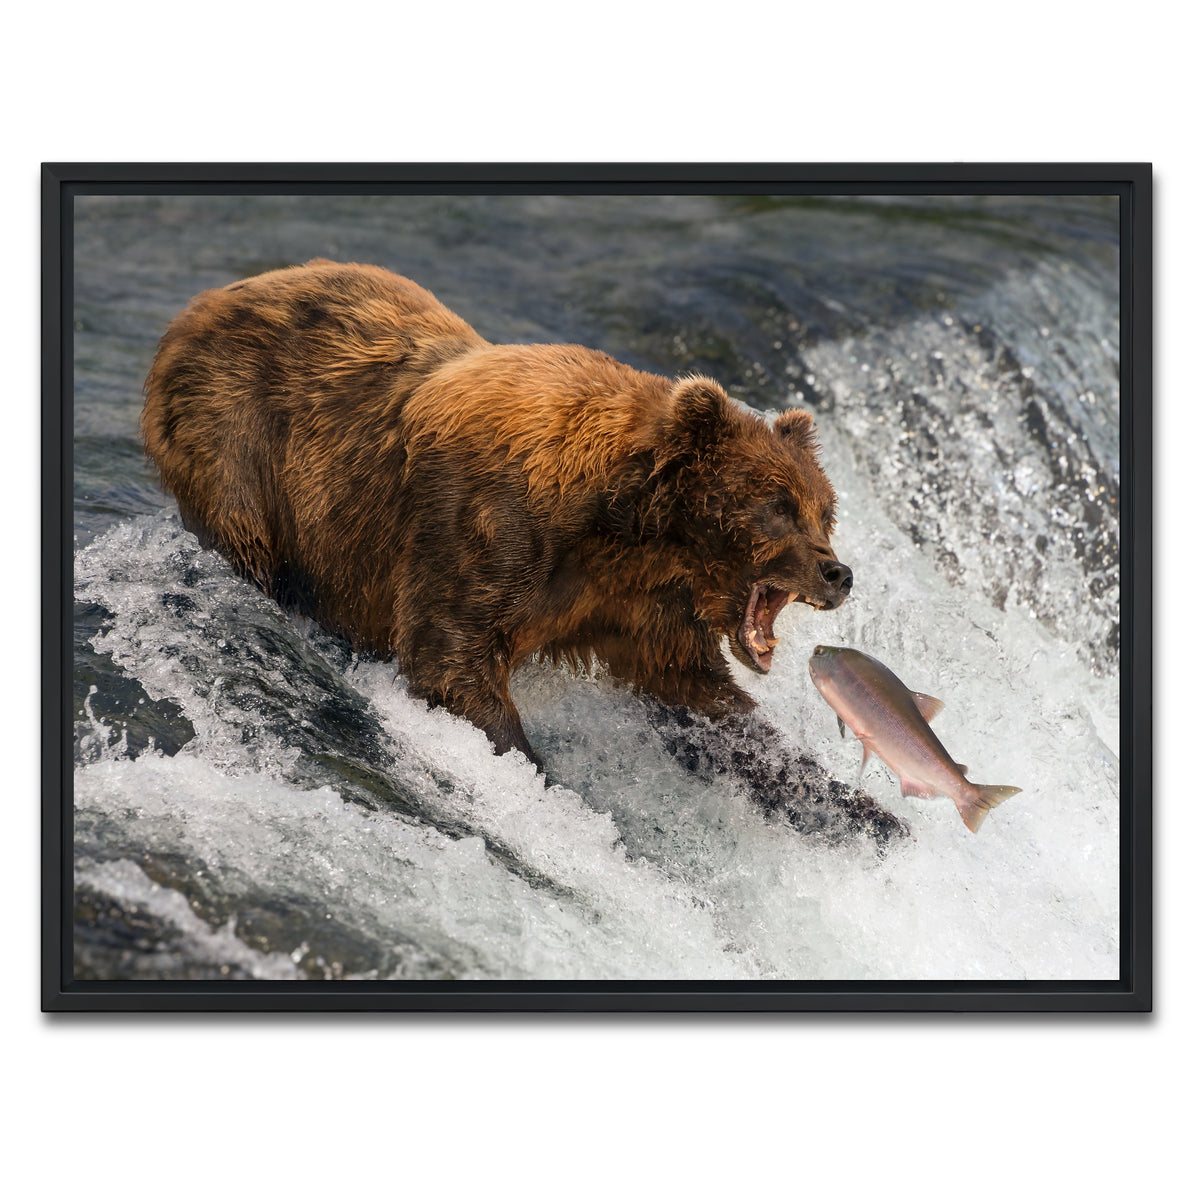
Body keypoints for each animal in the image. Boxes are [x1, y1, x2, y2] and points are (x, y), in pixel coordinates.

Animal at [142, 260, 905, 846]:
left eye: (824, 509)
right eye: (777, 505)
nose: (838, 572)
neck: (626, 528)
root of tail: (201, 304)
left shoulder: (637, 606)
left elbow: (703, 701)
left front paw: (863, 811)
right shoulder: (487, 527)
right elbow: (452, 657)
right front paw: (541, 778)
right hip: (241, 439)